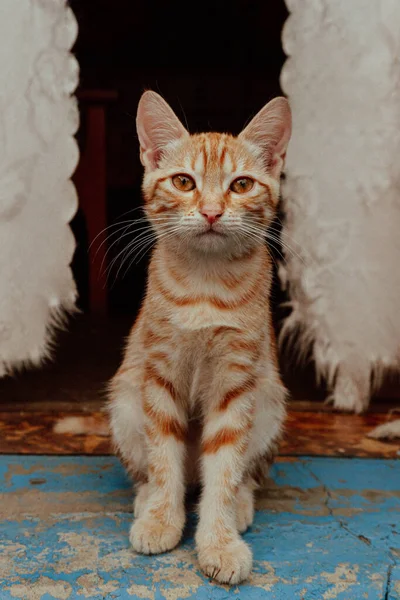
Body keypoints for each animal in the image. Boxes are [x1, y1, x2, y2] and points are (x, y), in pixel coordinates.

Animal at [108, 91, 292, 584]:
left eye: (242, 185)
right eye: (183, 182)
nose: (211, 211)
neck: (205, 284)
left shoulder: (237, 380)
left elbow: (225, 468)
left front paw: (219, 542)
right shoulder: (159, 371)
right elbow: (163, 455)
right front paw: (161, 520)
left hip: (268, 400)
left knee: (236, 473)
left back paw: (240, 505)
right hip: (126, 399)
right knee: (154, 468)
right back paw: (147, 499)